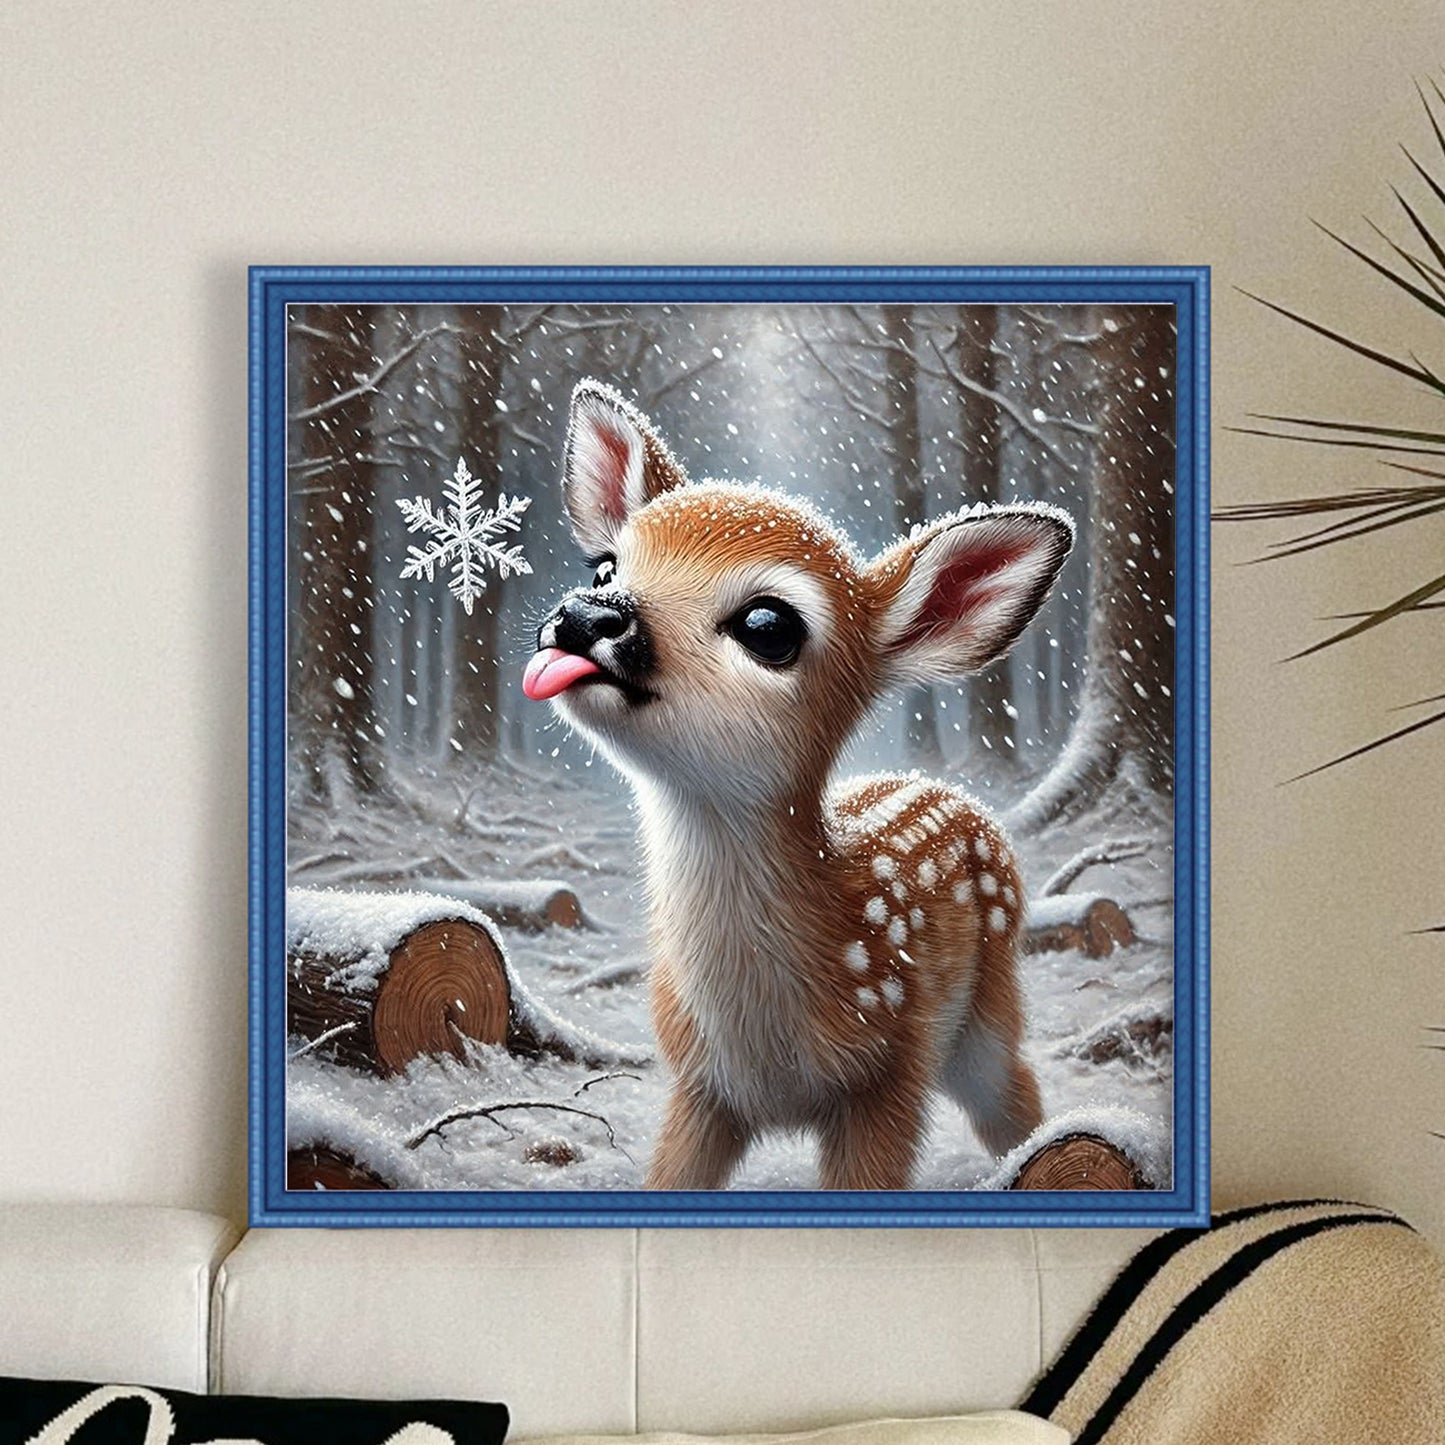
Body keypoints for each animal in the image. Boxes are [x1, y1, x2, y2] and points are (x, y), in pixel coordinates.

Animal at [522, 380, 1074, 1191]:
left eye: (768, 624)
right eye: (604, 568)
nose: (586, 614)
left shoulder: (890, 1074)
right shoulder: (698, 1087)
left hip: (987, 1004)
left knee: (1015, 1091)